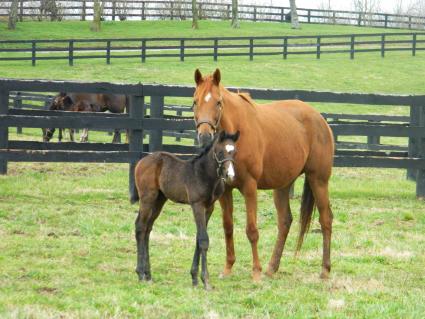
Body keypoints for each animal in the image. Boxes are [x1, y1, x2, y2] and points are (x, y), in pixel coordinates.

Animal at [131, 130, 240, 290]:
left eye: (234, 152)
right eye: (220, 152)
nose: (230, 175)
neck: (204, 174)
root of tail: (142, 161)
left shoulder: (209, 207)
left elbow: (198, 238)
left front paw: (194, 278)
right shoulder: (197, 205)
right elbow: (203, 240)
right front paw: (206, 281)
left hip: (159, 199)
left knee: (147, 229)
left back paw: (148, 274)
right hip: (147, 198)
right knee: (140, 226)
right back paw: (140, 274)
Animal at [192, 69, 334, 282]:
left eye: (218, 102)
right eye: (195, 101)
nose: (205, 136)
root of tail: (320, 119)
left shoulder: (250, 187)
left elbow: (252, 230)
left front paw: (256, 272)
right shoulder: (225, 190)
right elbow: (228, 227)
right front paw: (228, 268)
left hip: (319, 180)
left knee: (326, 219)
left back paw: (325, 269)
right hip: (283, 185)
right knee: (285, 222)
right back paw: (272, 267)